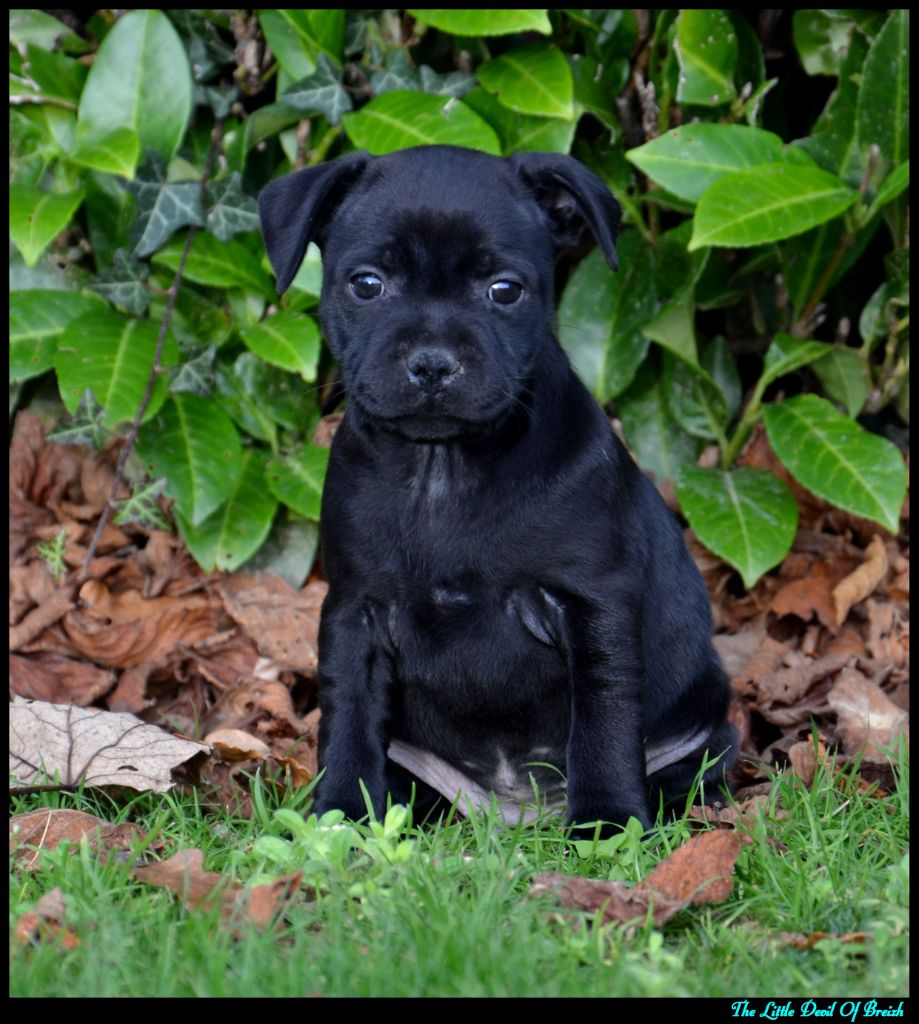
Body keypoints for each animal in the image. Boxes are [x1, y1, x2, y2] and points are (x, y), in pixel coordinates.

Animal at [262, 146, 733, 831]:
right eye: (367, 284)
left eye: (504, 291)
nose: (433, 361)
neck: (443, 469)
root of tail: (515, 815)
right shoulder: (355, 611)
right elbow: (347, 717)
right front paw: (342, 814)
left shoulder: (592, 607)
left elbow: (604, 718)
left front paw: (607, 821)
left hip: (702, 730)